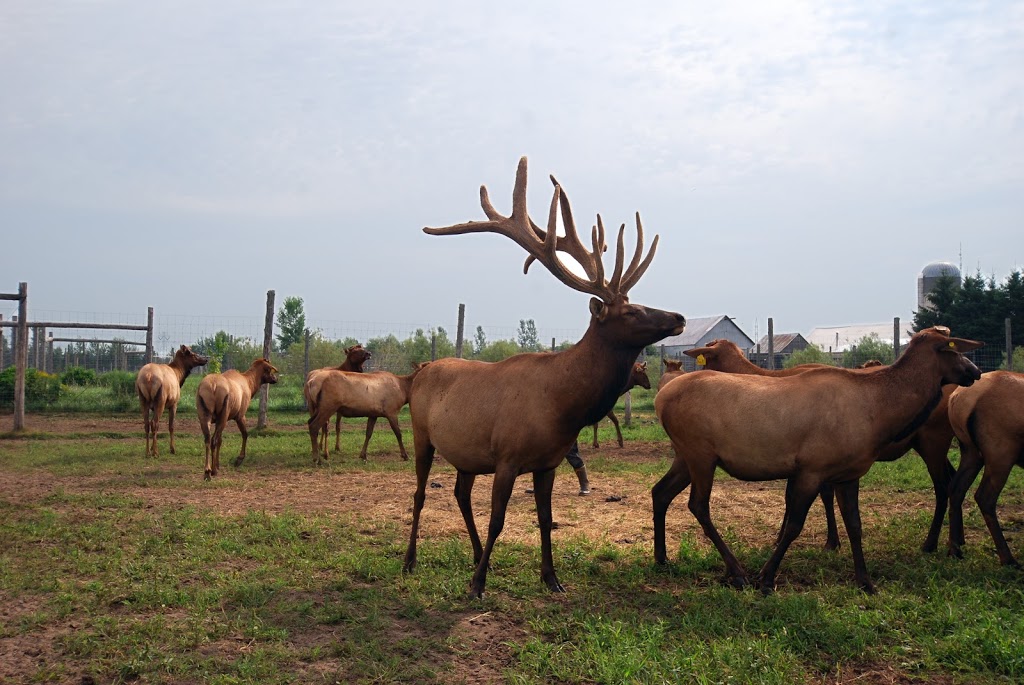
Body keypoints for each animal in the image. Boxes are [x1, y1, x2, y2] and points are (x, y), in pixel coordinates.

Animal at [401, 157, 688, 593]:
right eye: (631, 311)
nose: (679, 317)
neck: (562, 404)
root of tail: (421, 371)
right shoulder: (506, 456)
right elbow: (498, 520)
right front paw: (478, 584)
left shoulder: (548, 462)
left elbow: (545, 519)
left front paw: (551, 578)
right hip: (422, 434)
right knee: (419, 494)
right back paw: (411, 561)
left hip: (467, 454)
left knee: (460, 493)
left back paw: (473, 554)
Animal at [655, 325, 983, 593]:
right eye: (953, 349)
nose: (976, 371)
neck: (880, 414)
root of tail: (660, 399)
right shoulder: (811, 469)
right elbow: (793, 525)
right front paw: (766, 577)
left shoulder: (849, 473)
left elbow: (855, 525)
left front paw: (865, 581)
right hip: (699, 453)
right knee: (697, 505)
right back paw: (736, 572)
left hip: (686, 455)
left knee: (660, 491)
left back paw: (662, 558)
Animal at [942, 370, 1024, 565]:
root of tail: (956, 399)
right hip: (1001, 454)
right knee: (984, 497)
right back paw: (1007, 558)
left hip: (970, 452)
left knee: (955, 489)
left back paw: (955, 550)